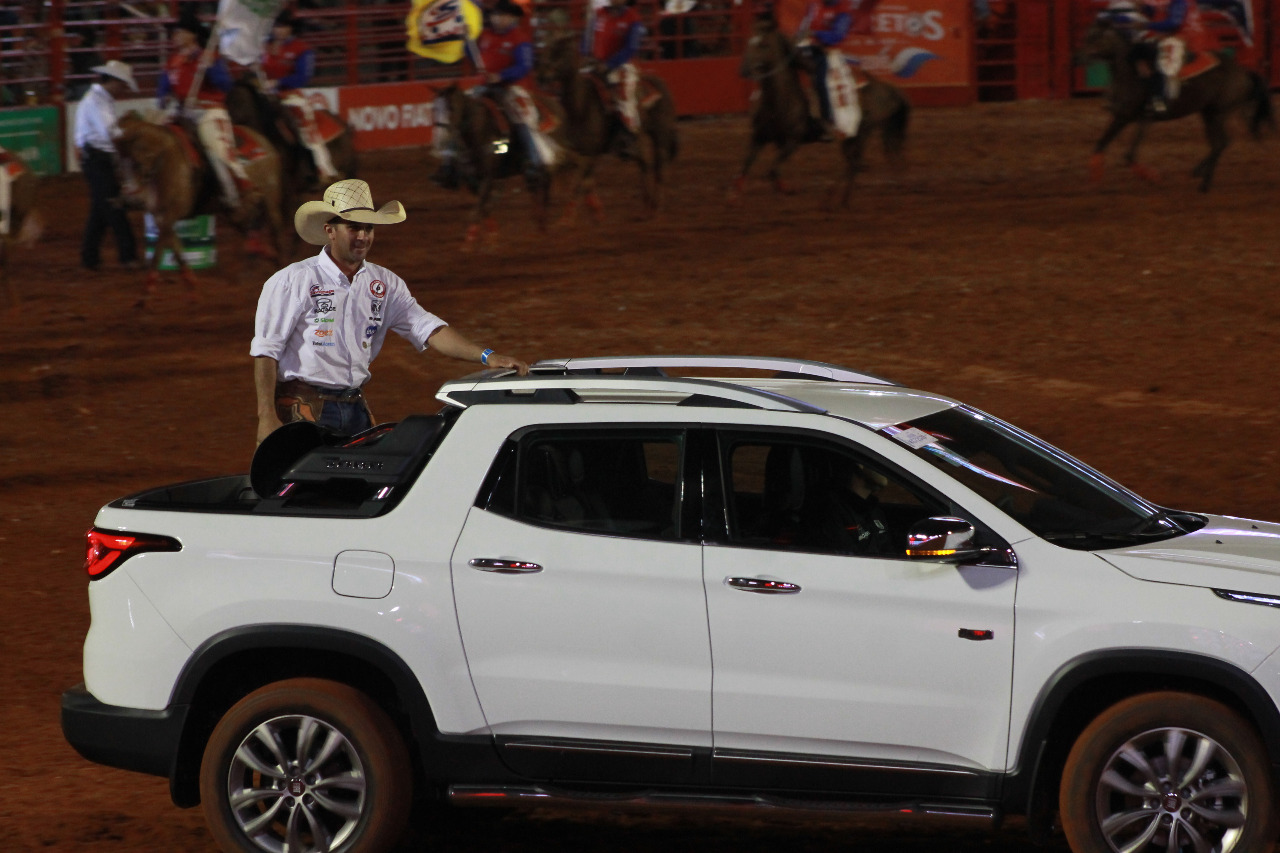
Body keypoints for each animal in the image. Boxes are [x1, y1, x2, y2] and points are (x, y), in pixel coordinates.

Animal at [116, 112, 284, 298]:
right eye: (117, 163)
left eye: (135, 162)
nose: (130, 199)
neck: (166, 158)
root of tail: (264, 142)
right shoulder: (161, 215)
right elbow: (173, 244)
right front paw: (190, 282)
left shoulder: (173, 211)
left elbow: (160, 246)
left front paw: (148, 287)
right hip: (235, 211)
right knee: (249, 227)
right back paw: (257, 258)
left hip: (270, 196)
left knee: (275, 228)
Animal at [430, 83, 570, 247]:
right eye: (434, 109)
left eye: (451, 107)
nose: (440, 140)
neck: (482, 130)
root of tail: (555, 104)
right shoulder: (473, 179)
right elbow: (484, 205)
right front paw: (492, 234)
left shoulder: (488, 177)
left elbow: (480, 205)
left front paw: (469, 240)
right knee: (536, 189)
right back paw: (540, 223)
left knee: (545, 187)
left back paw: (544, 224)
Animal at [537, 33, 680, 217]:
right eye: (548, 49)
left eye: (561, 51)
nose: (542, 76)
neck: (582, 105)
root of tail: (660, 84)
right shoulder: (581, 152)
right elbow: (585, 185)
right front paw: (596, 213)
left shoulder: (591, 153)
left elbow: (579, 185)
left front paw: (567, 218)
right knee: (646, 165)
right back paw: (647, 207)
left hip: (661, 134)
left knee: (660, 166)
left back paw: (657, 207)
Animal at [732, 17, 911, 206]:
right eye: (749, 42)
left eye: (763, 44)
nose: (744, 69)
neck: (781, 101)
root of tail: (891, 89)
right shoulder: (759, 137)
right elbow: (745, 166)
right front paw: (734, 196)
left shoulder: (793, 141)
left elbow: (773, 170)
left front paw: (787, 189)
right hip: (855, 136)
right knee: (854, 162)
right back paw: (836, 199)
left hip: (864, 131)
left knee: (855, 161)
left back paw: (835, 199)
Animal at [1080, 14, 1269, 190]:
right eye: (1088, 34)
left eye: (1096, 35)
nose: (1078, 57)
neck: (1131, 74)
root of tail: (1244, 71)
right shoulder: (1140, 118)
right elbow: (1124, 153)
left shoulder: (1124, 117)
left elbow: (1110, 148)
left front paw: (1151, 177)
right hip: (1208, 113)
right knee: (1219, 143)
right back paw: (1199, 175)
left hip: (1219, 113)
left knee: (1221, 142)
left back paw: (1203, 183)